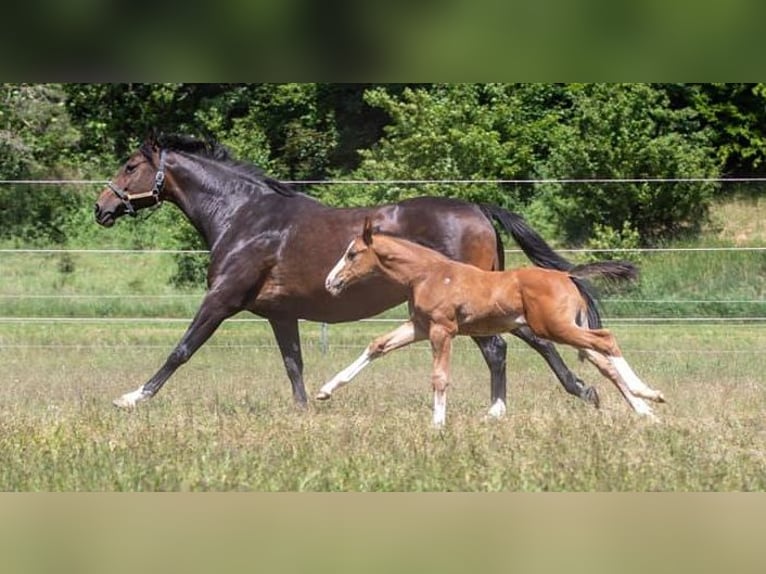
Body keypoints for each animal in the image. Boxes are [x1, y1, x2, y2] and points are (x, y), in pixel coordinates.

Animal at [94, 135, 600, 414]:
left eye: (131, 165)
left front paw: (132, 398)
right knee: (525, 343)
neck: (243, 216)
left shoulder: (221, 300)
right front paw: (305, 410)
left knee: (504, 348)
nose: (102, 208)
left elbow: (181, 350)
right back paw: (578, 392)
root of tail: (478, 208)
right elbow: (293, 363)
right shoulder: (280, 314)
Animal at [324, 220, 664, 428]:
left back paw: (649, 394)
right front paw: (325, 390)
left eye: (352, 254)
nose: (330, 282)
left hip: (555, 328)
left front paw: (437, 425)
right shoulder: (420, 326)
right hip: (568, 328)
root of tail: (567, 276)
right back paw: (645, 411)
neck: (428, 274)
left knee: (606, 340)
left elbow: (439, 377)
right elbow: (378, 345)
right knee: (603, 361)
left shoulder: (442, 330)